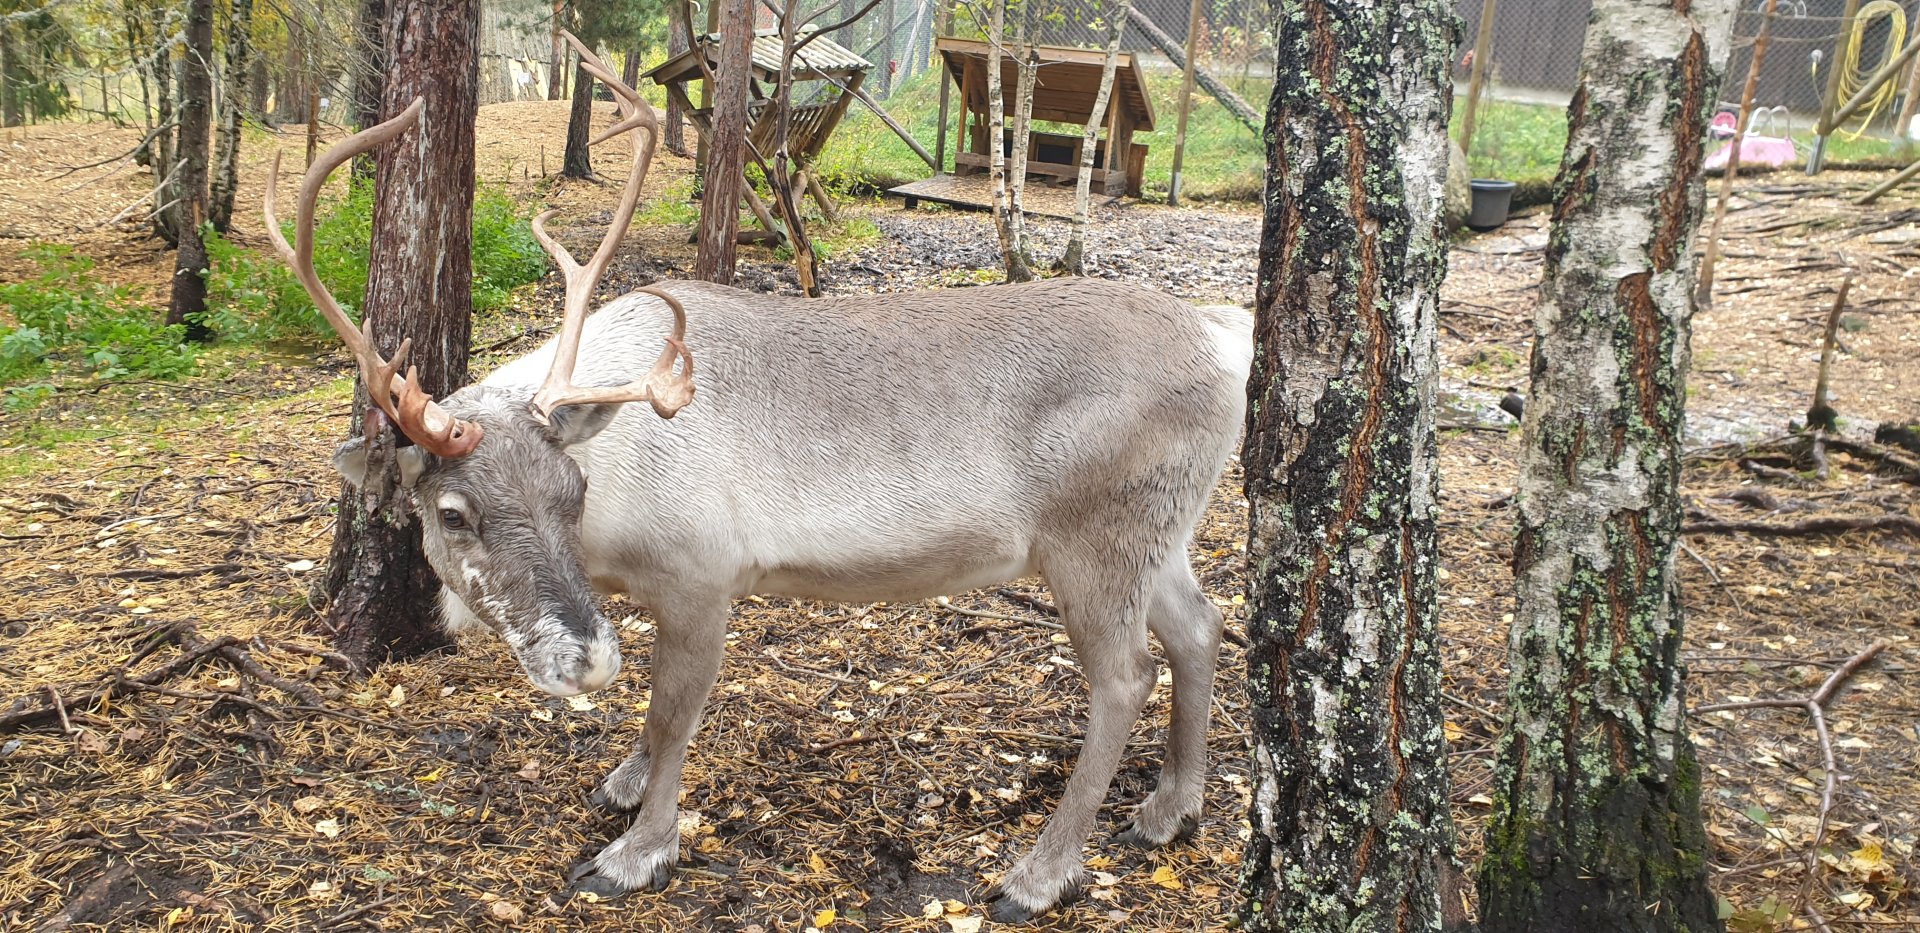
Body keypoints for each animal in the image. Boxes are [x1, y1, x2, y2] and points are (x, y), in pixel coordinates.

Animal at [267, 37, 1252, 923]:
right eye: (454, 511)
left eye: (570, 493)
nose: (585, 660)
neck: (617, 511)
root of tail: (1221, 340)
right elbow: (652, 724)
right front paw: (622, 783)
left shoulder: (703, 576)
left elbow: (673, 716)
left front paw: (635, 851)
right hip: (1164, 530)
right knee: (1200, 628)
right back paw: (1168, 809)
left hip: (1096, 536)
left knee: (1125, 676)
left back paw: (1038, 876)